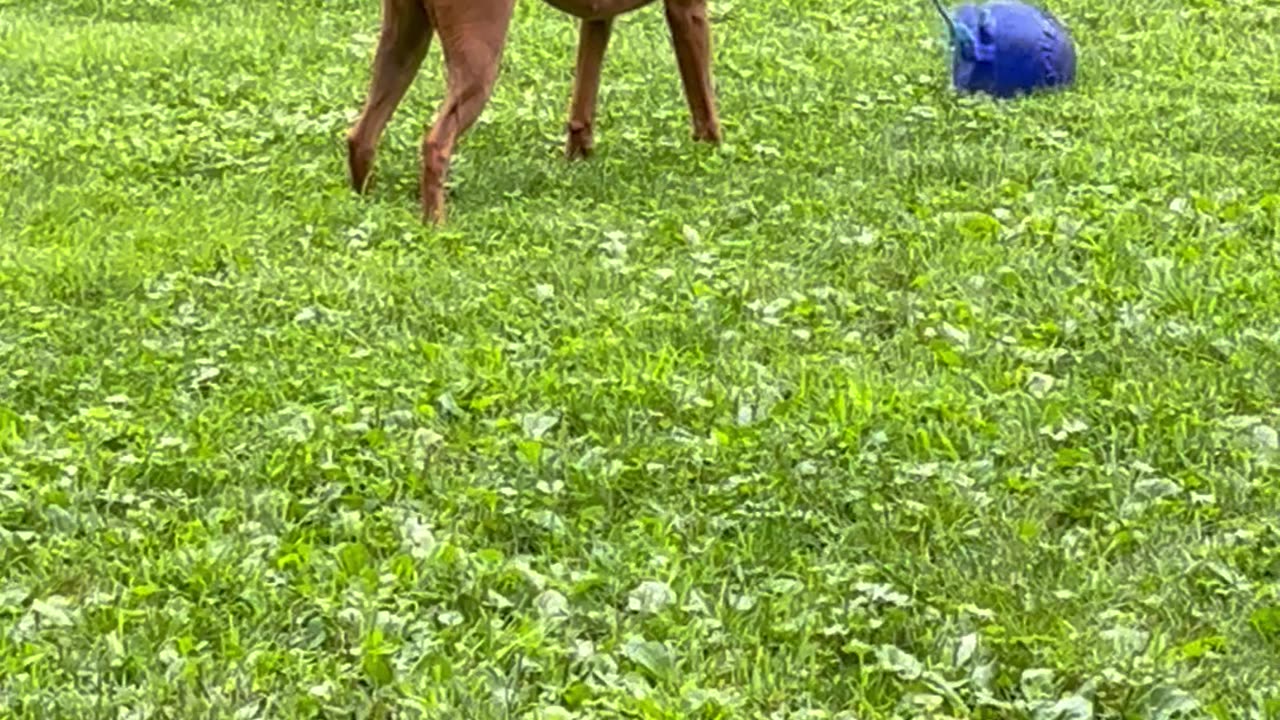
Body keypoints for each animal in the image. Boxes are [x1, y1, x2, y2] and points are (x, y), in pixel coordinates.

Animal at [345, 0, 721, 222]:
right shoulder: (688, 11)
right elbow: (706, 107)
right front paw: (715, 161)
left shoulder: (597, 18)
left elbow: (582, 106)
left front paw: (579, 161)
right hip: (479, 56)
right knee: (436, 143)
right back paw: (436, 224)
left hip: (402, 42)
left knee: (361, 135)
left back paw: (367, 202)